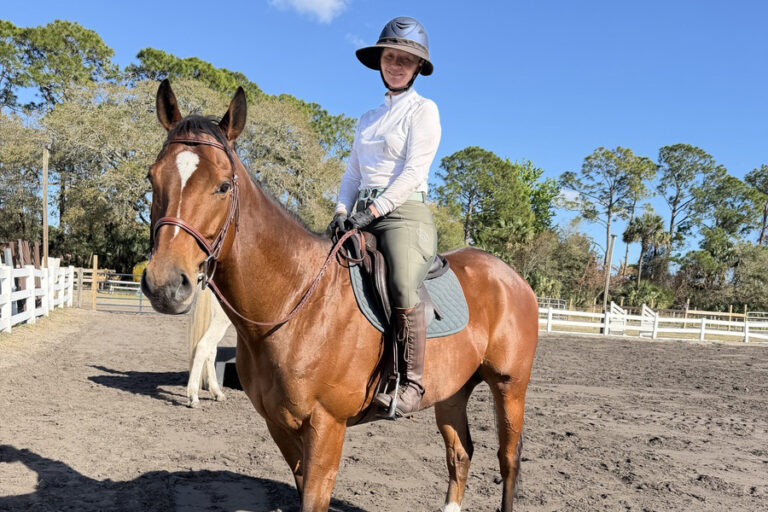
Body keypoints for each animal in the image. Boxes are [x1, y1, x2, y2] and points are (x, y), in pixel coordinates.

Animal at [141, 79, 539, 512]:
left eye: (223, 185)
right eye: (152, 178)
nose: (165, 284)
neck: (296, 301)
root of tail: (513, 278)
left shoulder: (326, 426)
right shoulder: (280, 425)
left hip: (509, 386)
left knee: (508, 460)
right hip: (453, 391)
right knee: (460, 453)